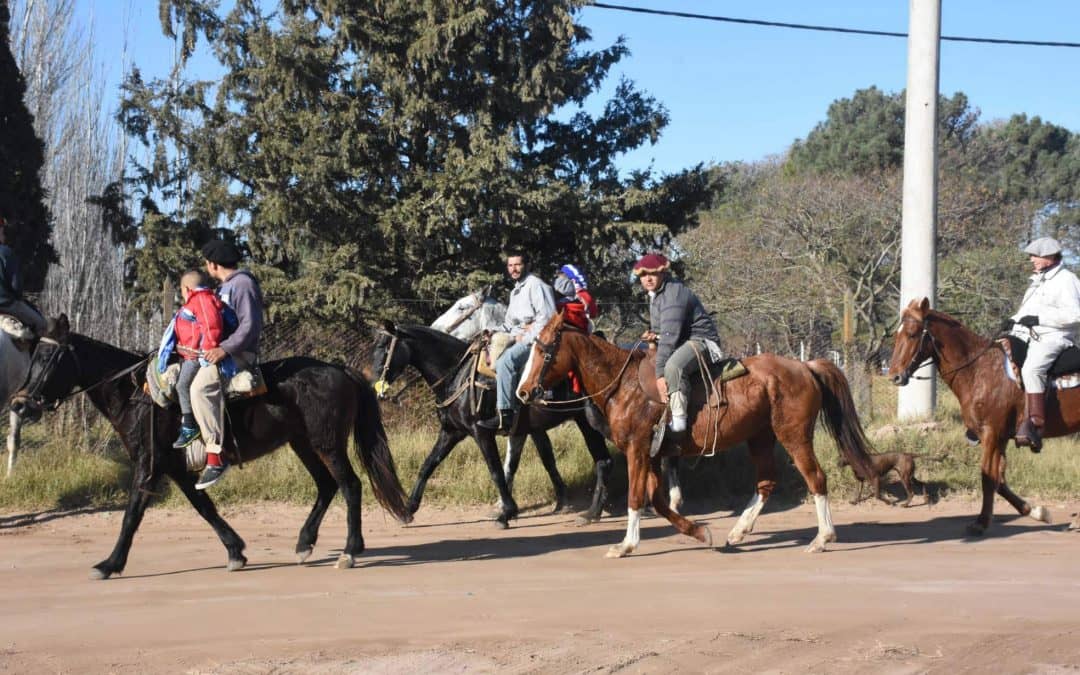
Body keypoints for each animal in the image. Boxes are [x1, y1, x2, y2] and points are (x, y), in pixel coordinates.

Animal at [11, 314, 412, 579]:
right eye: (33, 355)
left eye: (49, 358)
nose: (19, 405)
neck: (138, 395)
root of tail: (340, 370)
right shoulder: (174, 468)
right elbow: (203, 506)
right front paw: (235, 551)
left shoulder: (148, 464)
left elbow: (132, 515)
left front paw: (110, 564)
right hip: (302, 444)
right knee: (327, 487)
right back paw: (304, 544)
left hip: (326, 444)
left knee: (350, 486)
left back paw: (349, 551)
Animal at [517, 312, 878, 558]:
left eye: (545, 351)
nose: (523, 392)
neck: (624, 386)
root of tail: (805, 367)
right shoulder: (652, 455)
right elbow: (658, 501)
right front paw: (701, 533)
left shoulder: (637, 450)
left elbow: (636, 497)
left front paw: (626, 545)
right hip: (760, 437)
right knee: (766, 483)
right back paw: (738, 532)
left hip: (794, 436)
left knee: (816, 478)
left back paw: (822, 538)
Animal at [887, 298, 1053, 534]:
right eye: (896, 335)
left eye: (912, 333)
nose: (894, 376)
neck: (979, 369)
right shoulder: (1000, 438)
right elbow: (999, 480)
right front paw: (1035, 511)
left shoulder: (991, 434)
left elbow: (988, 477)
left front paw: (981, 522)